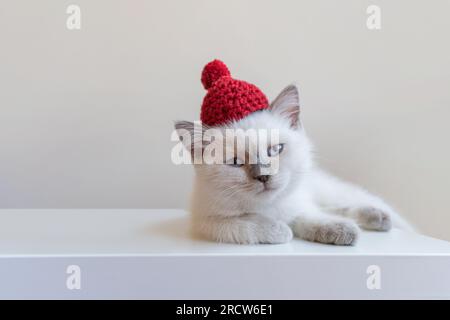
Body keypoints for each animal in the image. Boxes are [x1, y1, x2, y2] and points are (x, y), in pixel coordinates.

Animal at [175, 84, 414, 245]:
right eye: (235, 162)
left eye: (275, 150)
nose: (264, 176)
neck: (270, 207)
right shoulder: (209, 223)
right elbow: (249, 223)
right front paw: (280, 231)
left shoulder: (296, 205)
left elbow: (309, 218)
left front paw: (339, 231)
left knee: (337, 206)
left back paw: (379, 218)